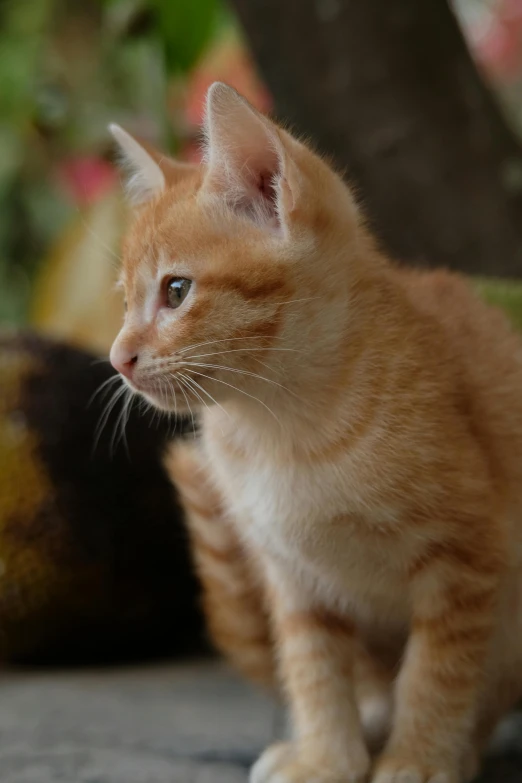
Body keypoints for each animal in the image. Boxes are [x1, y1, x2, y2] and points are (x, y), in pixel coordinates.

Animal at [107, 82, 520, 780]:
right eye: (125, 300)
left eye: (177, 291)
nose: (117, 358)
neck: (281, 428)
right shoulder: (291, 577)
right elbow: (314, 668)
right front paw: (327, 755)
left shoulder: (467, 557)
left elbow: (439, 671)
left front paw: (419, 757)